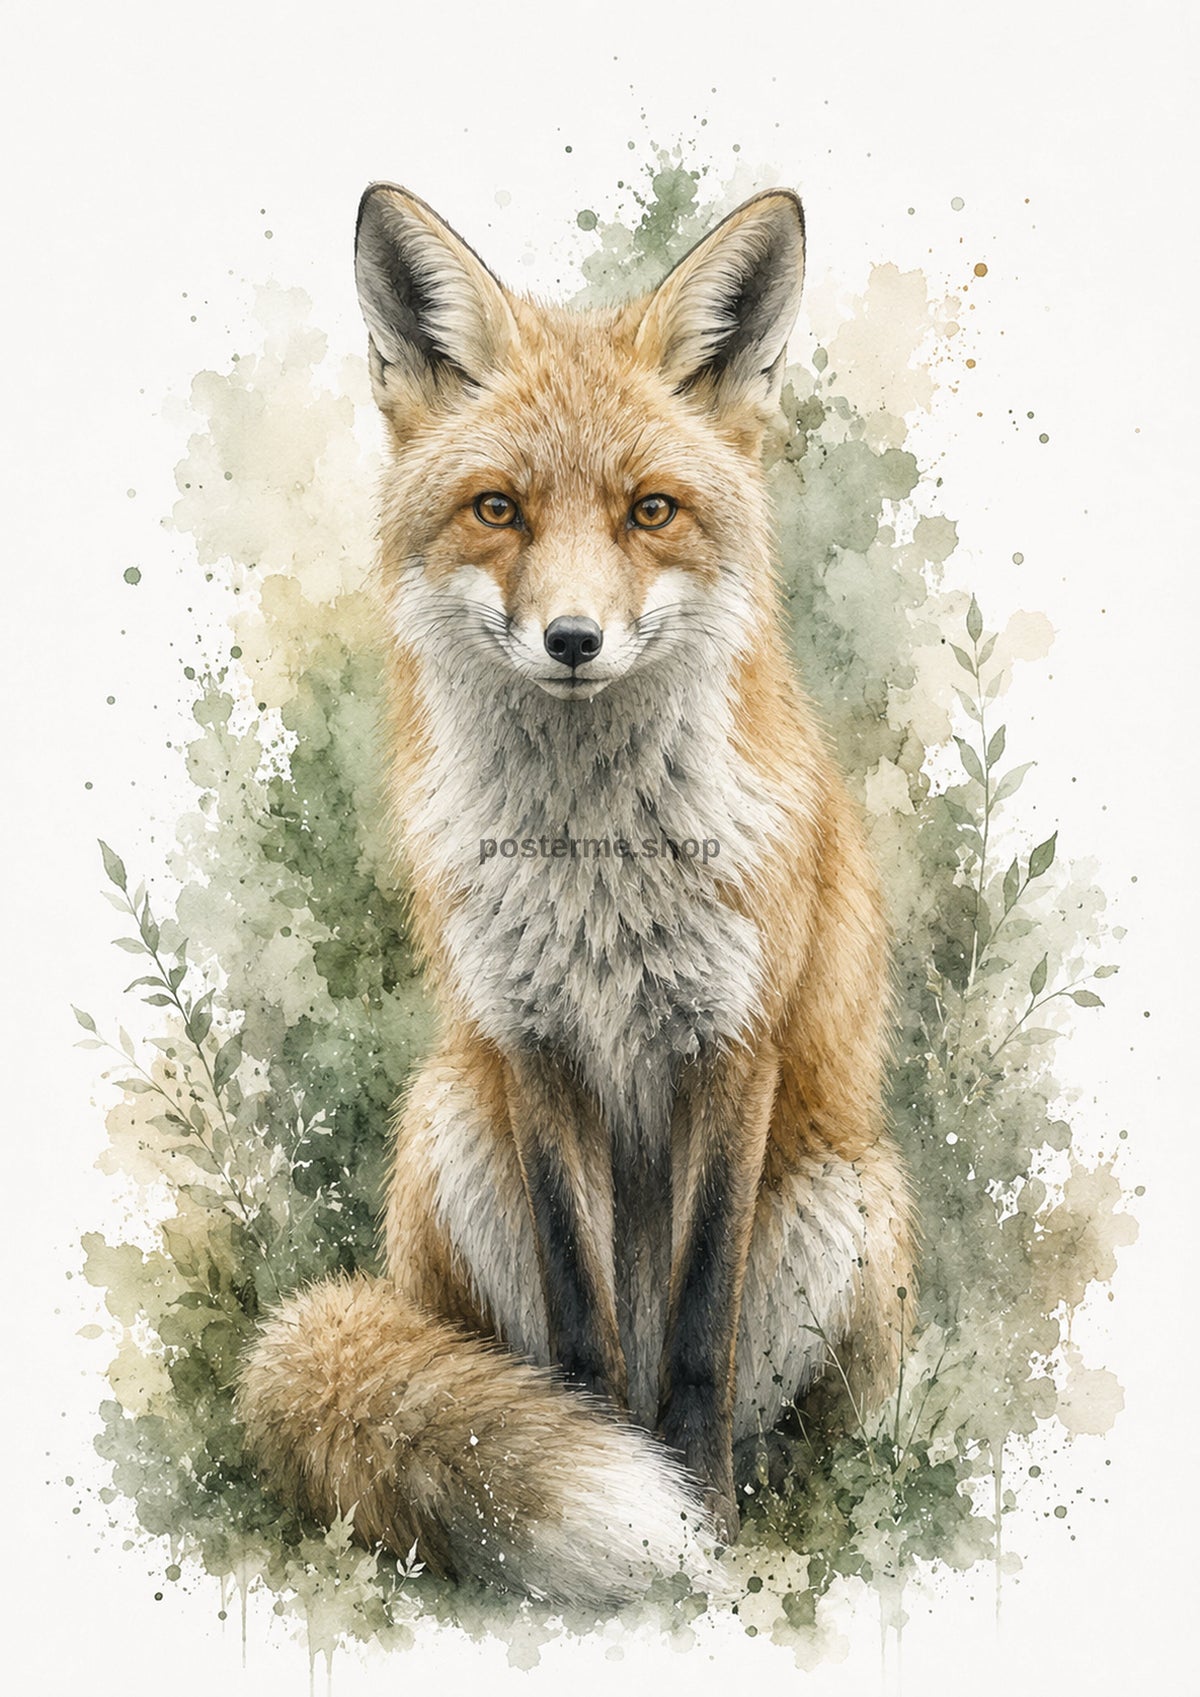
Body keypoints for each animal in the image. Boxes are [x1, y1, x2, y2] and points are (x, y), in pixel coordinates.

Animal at [237, 182, 916, 1608]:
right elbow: (581, 1327)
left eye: (650, 511)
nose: (571, 641)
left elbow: (703, 1330)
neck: (595, 866)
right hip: (451, 1119)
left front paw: (705, 1520)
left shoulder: (734, 1044)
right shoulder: (535, 1044)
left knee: (798, 1421)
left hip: (853, 1186)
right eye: (497, 508)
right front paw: (622, 1484)